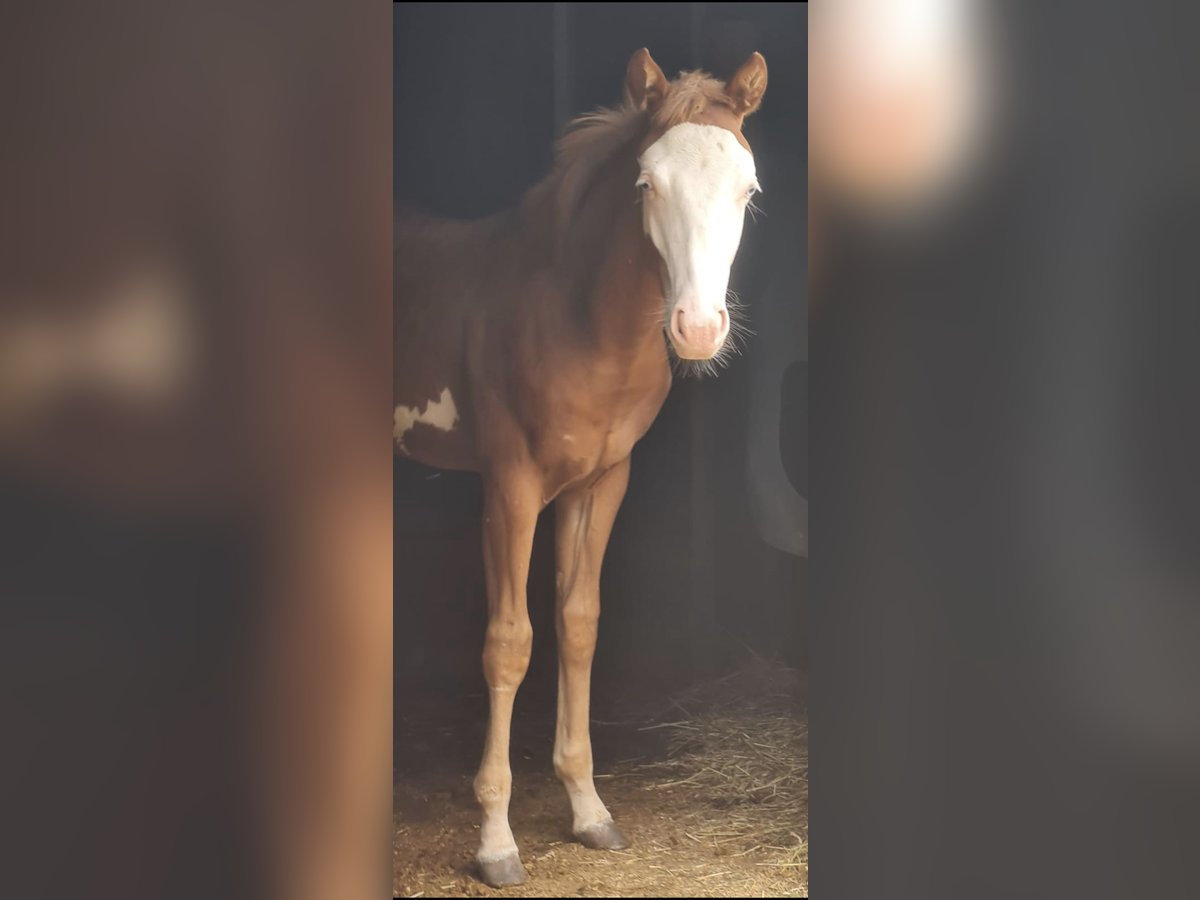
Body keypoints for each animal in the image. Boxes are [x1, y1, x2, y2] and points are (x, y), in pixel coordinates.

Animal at [393, 47, 768, 888]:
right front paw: (496, 841)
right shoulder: (510, 486)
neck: (579, 321)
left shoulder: (602, 484)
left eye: (748, 189)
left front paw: (589, 809)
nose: (698, 329)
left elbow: (579, 625)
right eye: (646, 183)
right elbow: (510, 641)